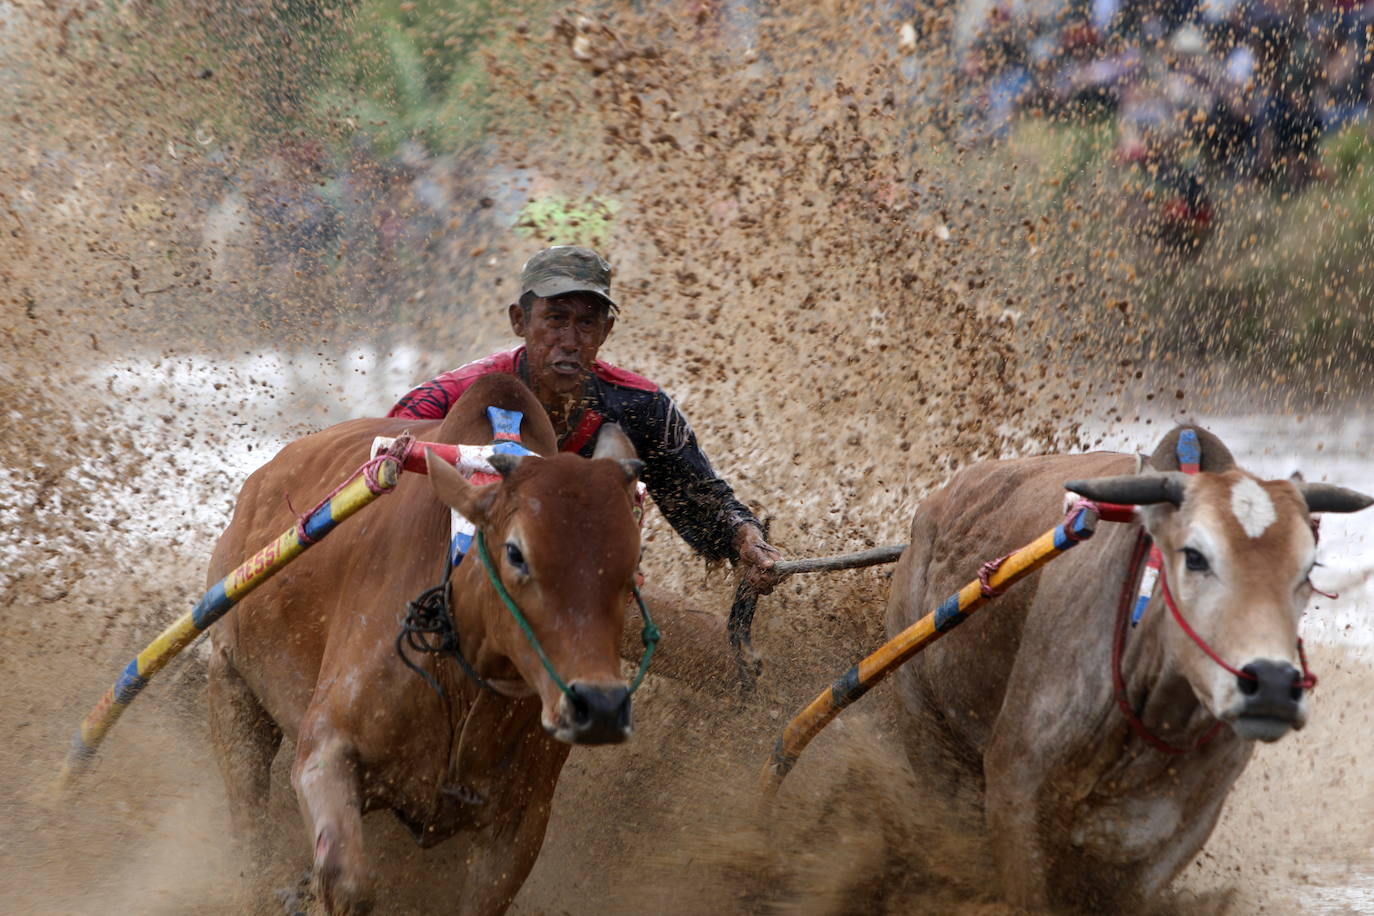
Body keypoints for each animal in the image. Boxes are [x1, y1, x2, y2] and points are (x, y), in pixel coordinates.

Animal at [208, 373, 648, 916]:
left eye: (632, 562)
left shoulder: (520, 823)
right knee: (249, 822)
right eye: (516, 553)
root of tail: (261, 482)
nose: (600, 707)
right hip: (231, 686)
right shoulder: (324, 750)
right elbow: (347, 883)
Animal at [884, 428, 1368, 911]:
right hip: (929, 739)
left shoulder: (1176, 831)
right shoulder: (1015, 786)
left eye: (1308, 568)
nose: (1271, 684)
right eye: (1195, 556)